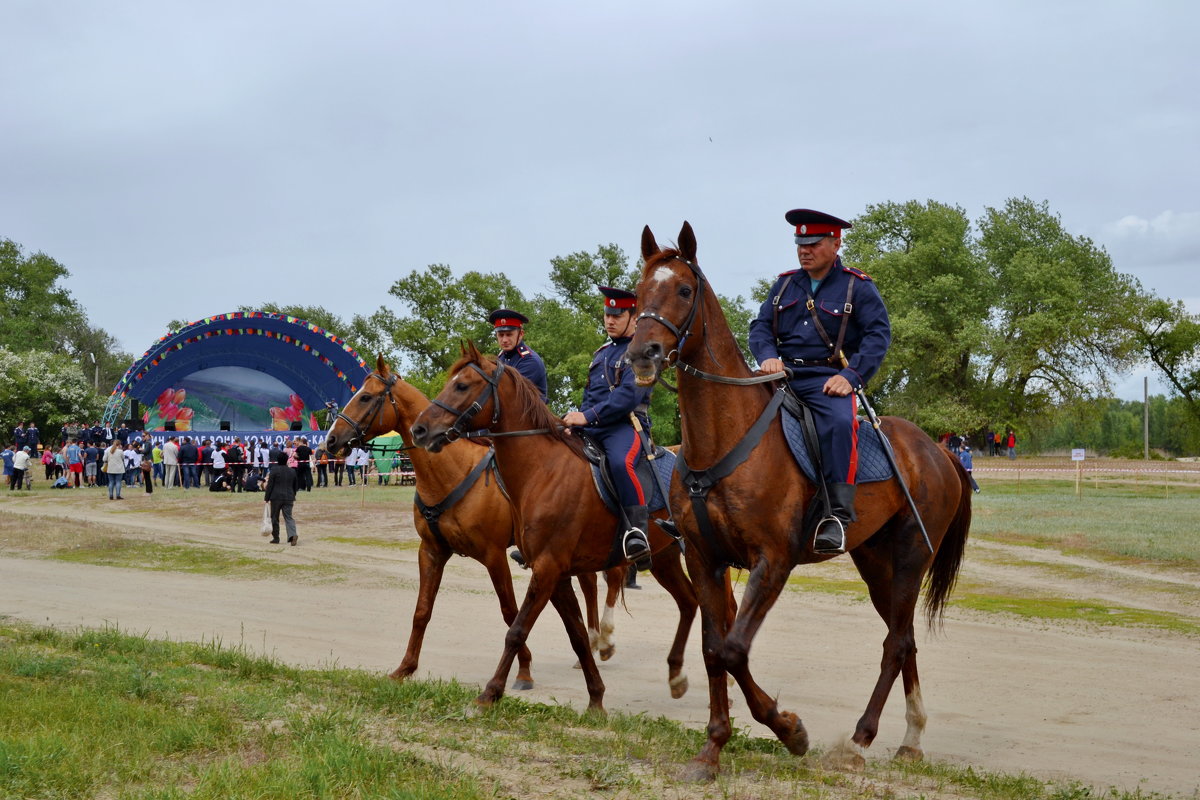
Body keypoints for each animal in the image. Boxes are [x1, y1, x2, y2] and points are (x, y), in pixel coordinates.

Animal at [328, 357, 628, 690]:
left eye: (366, 397)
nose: (331, 439)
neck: (451, 471)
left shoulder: (494, 555)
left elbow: (510, 612)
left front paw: (523, 670)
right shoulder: (431, 550)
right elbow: (422, 611)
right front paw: (405, 667)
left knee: (610, 578)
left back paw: (605, 641)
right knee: (590, 584)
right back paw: (591, 645)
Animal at [408, 345, 700, 714]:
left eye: (462, 385)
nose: (419, 430)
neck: (542, 471)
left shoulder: (546, 567)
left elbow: (517, 630)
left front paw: (490, 693)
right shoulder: (556, 573)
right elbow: (577, 635)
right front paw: (596, 699)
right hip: (665, 559)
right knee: (688, 603)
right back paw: (677, 676)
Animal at [624, 220, 969, 782]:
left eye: (684, 289)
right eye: (637, 292)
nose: (641, 354)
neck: (724, 439)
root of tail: (937, 451)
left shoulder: (773, 561)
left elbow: (734, 650)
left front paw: (789, 730)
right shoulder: (704, 559)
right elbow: (712, 650)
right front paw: (712, 749)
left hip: (912, 556)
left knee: (895, 643)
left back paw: (860, 739)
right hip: (875, 563)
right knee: (904, 638)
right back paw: (911, 736)